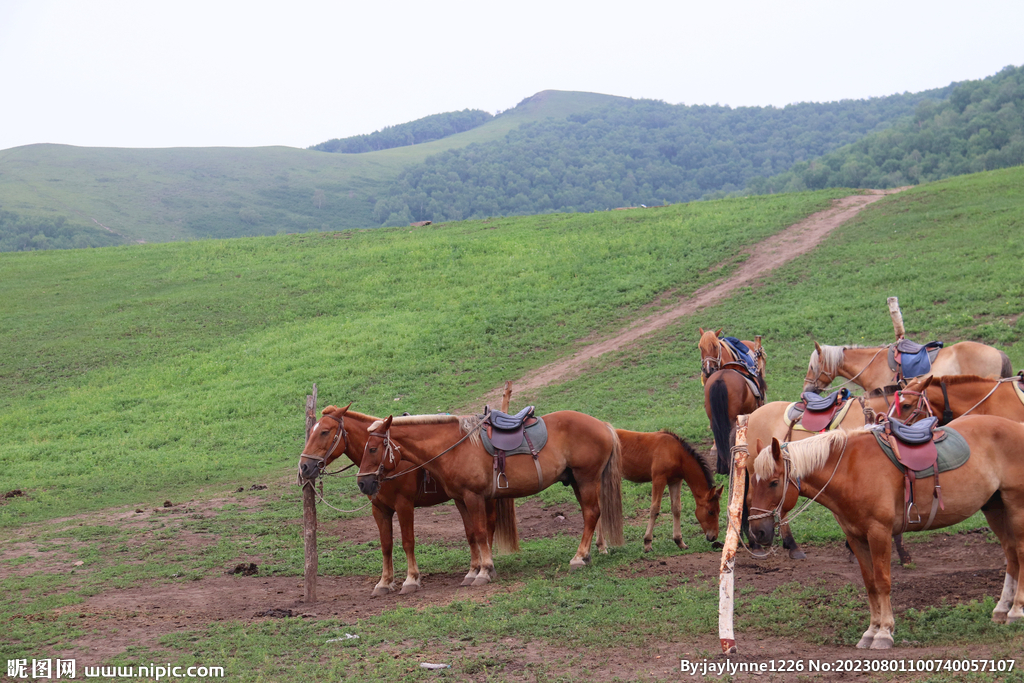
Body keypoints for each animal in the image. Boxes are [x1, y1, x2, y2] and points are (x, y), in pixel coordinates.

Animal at [299, 405, 520, 598]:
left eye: (324, 432)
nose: (304, 466)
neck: (392, 459)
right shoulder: (379, 509)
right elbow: (386, 545)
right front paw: (384, 582)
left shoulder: (404, 505)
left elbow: (408, 542)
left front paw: (411, 579)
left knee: (488, 527)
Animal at [356, 409, 622, 589]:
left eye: (372, 449)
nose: (363, 482)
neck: (455, 447)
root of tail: (602, 424)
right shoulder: (460, 499)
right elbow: (471, 534)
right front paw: (473, 571)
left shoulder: (473, 497)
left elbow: (481, 532)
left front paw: (484, 571)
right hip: (578, 481)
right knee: (591, 514)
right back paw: (587, 554)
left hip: (586, 479)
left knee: (591, 513)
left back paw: (579, 557)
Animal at [741, 413, 1024, 651]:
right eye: (752, 481)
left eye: (774, 482)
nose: (758, 533)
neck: (850, 470)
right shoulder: (856, 537)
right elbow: (869, 584)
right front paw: (871, 630)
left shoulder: (879, 533)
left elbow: (883, 581)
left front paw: (885, 632)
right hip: (995, 508)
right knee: (1011, 555)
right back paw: (1002, 609)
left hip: (1015, 507)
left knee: (1020, 554)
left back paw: (1016, 611)